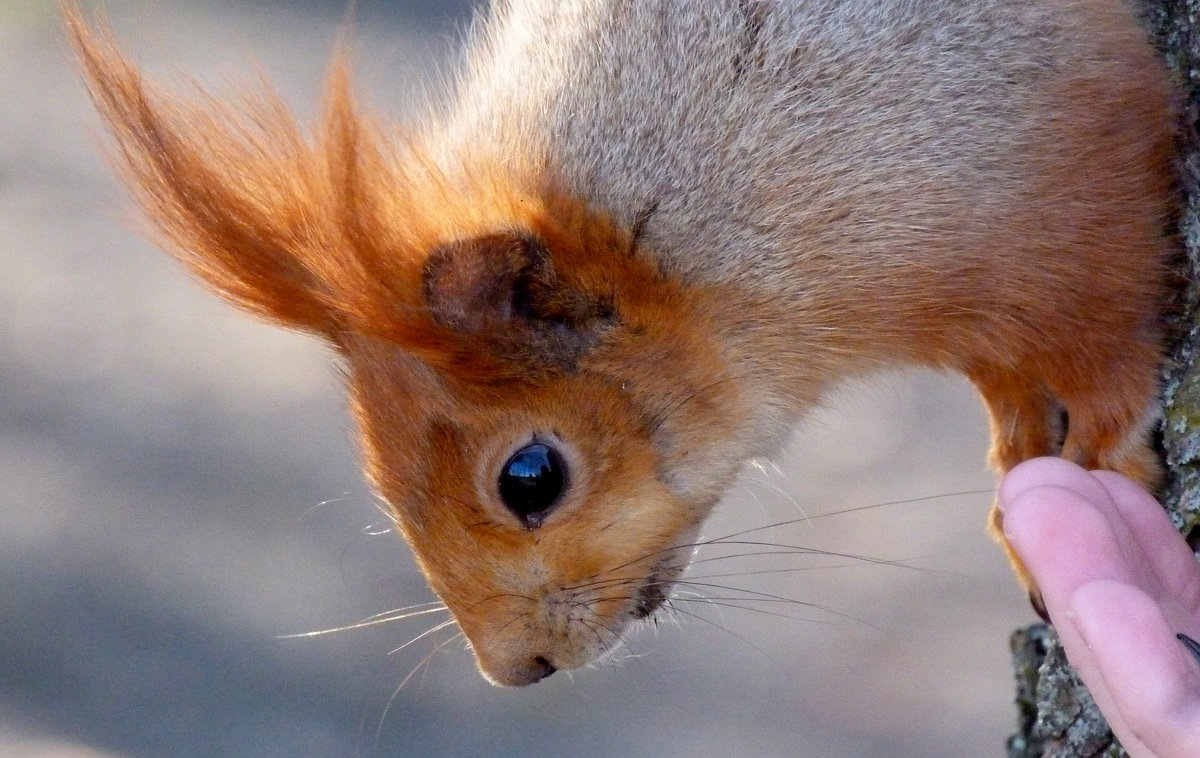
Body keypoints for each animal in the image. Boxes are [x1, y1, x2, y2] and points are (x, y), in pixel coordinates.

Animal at [63, 0, 1171, 686]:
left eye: (531, 478)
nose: (515, 672)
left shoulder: (1050, 209)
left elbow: (1105, 354)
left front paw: (1098, 455)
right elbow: (1009, 385)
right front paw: (1021, 464)